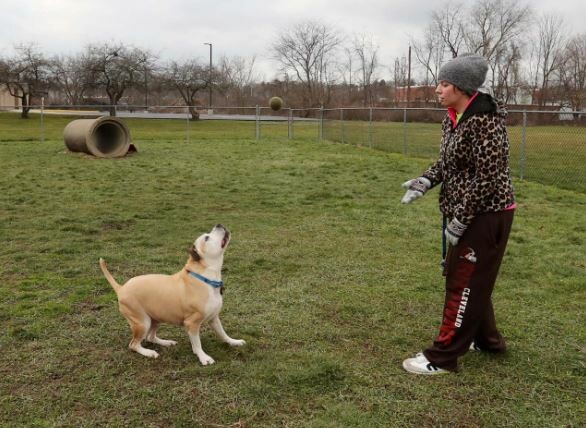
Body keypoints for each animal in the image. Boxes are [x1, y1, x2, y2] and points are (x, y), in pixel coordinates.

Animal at [100, 224, 244, 364]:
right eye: (207, 238)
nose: (219, 224)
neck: (205, 278)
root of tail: (121, 288)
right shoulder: (191, 324)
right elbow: (198, 344)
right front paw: (203, 357)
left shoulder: (214, 318)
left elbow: (223, 333)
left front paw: (234, 342)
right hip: (142, 322)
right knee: (133, 344)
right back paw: (149, 353)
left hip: (155, 319)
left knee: (150, 337)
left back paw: (166, 342)